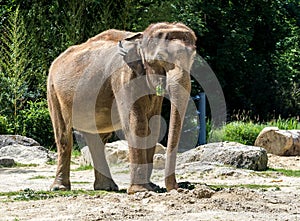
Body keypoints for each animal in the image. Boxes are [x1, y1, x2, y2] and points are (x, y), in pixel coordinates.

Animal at [47, 22, 197, 194]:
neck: (140, 39)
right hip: (53, 91)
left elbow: (154, 126)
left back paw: (106, 187)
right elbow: (137, 124)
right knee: (64, 136)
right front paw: (140, 190)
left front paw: (152, 187)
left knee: (97, 139)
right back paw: (59, 188)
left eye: (192, 58)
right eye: (160, 58)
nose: (178, 189)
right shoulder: (123, 76)